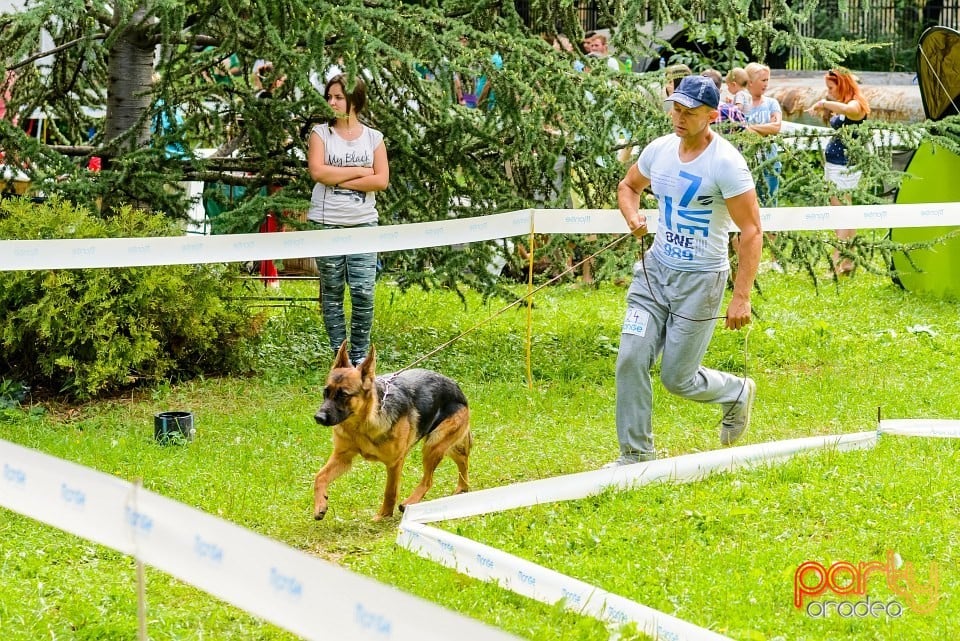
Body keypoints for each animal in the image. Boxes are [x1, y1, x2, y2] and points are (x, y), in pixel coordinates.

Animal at [316, 342, 472, 516]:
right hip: (442, 444)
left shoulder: (394, 463)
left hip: (433, 446)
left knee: (429, 480)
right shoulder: (342, 458)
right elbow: (319, 477)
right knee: (462, 460)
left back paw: (410, 502)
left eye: (343, 395)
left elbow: (390, 492)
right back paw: (462, 488)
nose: (318, 417)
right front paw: (320, 505)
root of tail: (458, 389)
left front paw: (382, 517)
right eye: (326, 392)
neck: (362, 426)